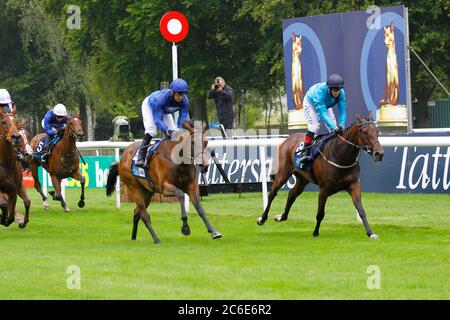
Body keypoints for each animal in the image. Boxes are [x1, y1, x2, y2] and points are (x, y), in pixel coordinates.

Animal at [256, 114, 384, 239]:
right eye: (365, 131)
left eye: (377, 131)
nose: (379, 153)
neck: (341, 156)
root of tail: (288, 139)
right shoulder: (324, 189)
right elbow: (320, 213)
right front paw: (315, 232)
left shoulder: (354, 185)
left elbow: (361, 209)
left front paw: (371, 233)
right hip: (283, 174)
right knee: (273, 193)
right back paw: (262, 218)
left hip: (302, 179)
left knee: (292, 195)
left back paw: (281, 217)